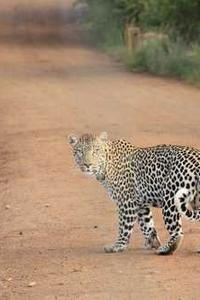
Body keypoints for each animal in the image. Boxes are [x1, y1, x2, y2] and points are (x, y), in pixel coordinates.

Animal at [68, 132, 200, 255]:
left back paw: (165, 249)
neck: (105, 166)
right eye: (80, 152)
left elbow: (124, 226)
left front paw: (118, 246)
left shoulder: (126, 202)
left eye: (96, 151)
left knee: (177, 232)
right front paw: (152, 243)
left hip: (170, 197)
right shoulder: (141, 204)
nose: (87, 165)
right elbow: (147, 224)